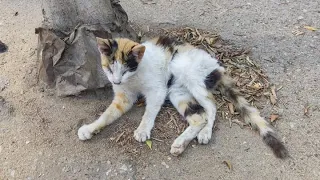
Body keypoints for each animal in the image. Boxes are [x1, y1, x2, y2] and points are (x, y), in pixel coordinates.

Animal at [77, 35, 288, 158]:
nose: (117, 80)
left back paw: (205, 133)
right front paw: (90, 128)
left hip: (187, 72)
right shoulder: (124, 97)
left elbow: (149, 112)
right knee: (199, 117)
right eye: (110, 68)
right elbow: (107, 115)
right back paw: (181, 143)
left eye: (126, 69)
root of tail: (217, 65)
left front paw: (143, 129)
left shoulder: (158, 90)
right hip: (177, 92)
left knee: (211, 107)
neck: (133, 78)